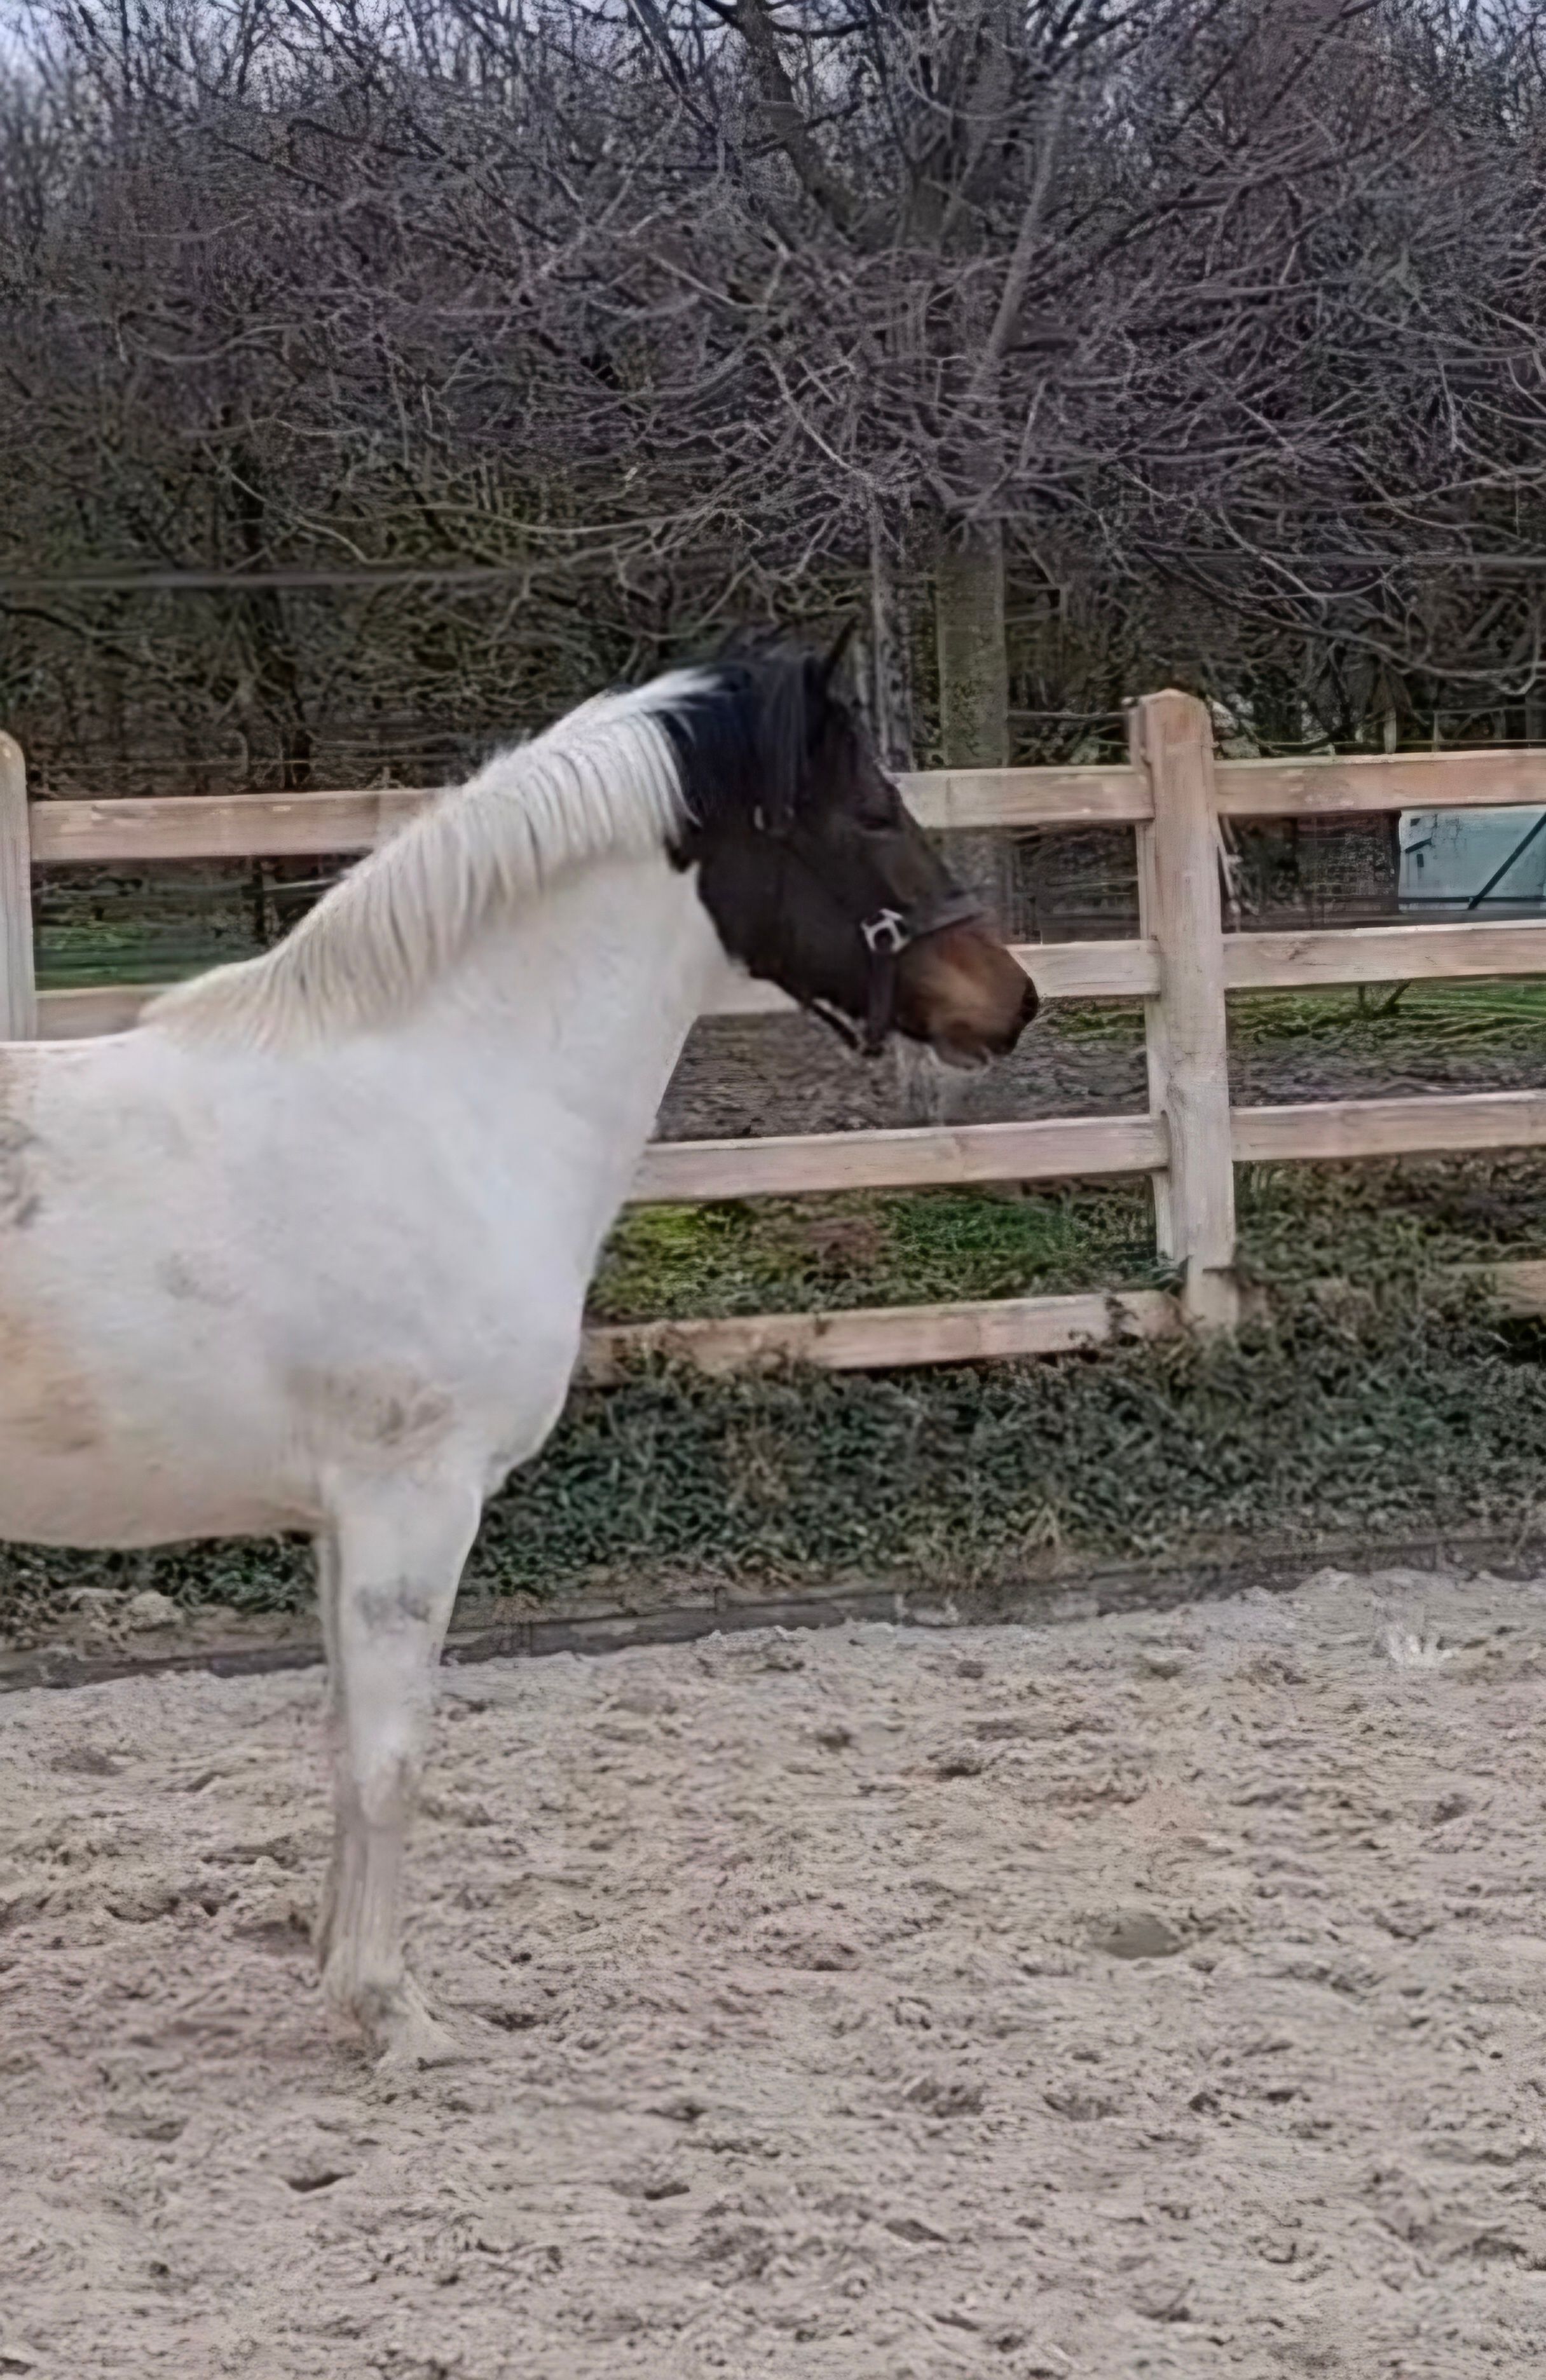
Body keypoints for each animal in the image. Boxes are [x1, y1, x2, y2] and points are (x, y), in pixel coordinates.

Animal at [0, 633, 1037, 2066]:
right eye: (874, 812)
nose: (1013, 1000)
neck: (432, 1101)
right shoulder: (413, 1503)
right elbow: (394, 1752)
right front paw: (395, 2012)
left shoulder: (344, 1519)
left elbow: (343, 1741)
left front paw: (340, 1979)